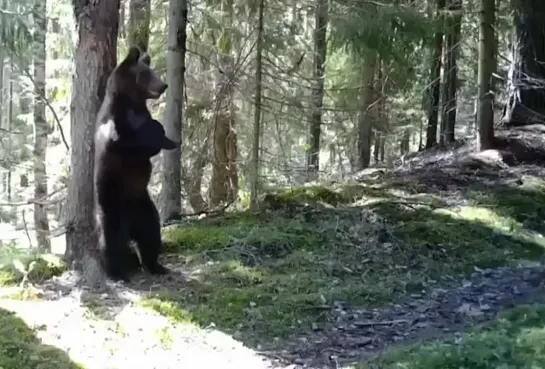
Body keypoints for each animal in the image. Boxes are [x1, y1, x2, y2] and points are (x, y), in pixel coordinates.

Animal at [94, 46, 176, 282]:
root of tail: (131, 225)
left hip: (144, 208)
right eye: (146, 74)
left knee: (151, 235)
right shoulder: (116, 128)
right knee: (110, 242)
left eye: (152, 70)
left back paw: (156, 265)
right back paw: (116, 272)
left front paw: (172, 140)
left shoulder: (142, 114)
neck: (132, 103)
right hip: (112, 207)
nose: (163, 85)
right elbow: (133, 142)